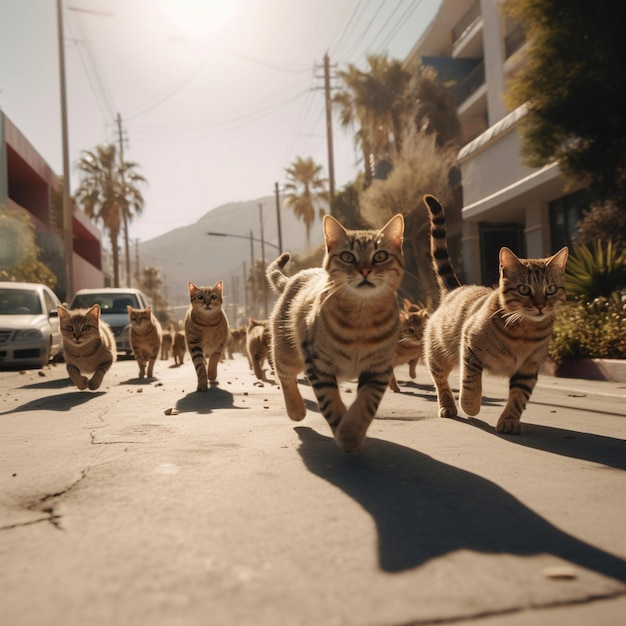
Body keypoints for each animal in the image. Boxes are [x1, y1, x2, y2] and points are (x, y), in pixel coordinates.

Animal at [264, 212, 402, 450]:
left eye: (380, 256)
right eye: (347, 256)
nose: (365, 270)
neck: (361, 318)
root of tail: (294, 277)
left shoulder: (379, 369)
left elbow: (366, 403)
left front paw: (352, 431)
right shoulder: (317, 363)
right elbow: (330, 402)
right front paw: (343, 430)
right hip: (288, 351)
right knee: (285, 375)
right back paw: (296, 409)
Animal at [422, 193, 568, 432]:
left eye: (551, 289)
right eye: (524, 289)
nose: (540, 305)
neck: (525, 330)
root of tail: (455, 289)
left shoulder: (529, 367)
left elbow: (519, 397)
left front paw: (509, 420)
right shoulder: (470, 346)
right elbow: (471, 382)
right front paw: (470, 405)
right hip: (437, 353)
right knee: (440, 379)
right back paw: (448, 405)